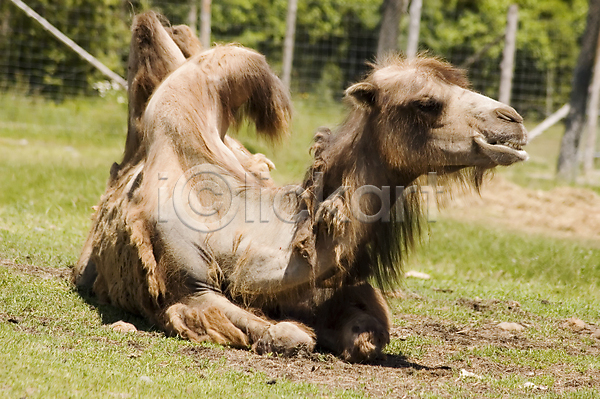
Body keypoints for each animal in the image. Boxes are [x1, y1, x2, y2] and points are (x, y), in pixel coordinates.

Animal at [72, 12, 528, 364]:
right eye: (427, 103)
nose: (513, 120)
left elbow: (372, 332)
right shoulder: (188, 289)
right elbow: (286, 334)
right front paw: (296, 333)